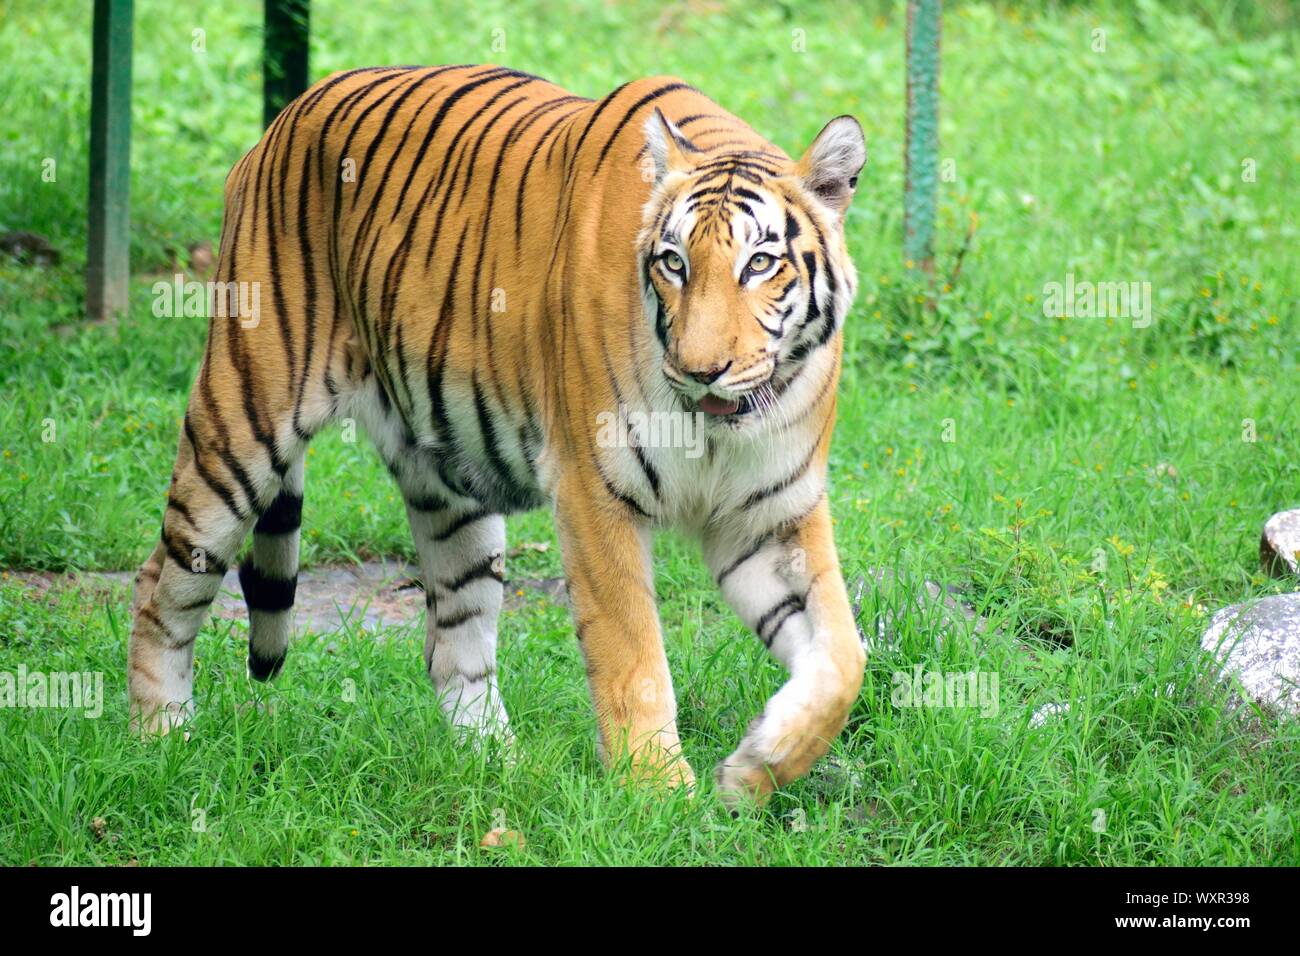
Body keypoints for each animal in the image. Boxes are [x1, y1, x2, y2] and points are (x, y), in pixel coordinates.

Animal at [129, 63, 863, 806]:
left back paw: (498, 772)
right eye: (674, 263)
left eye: (760, 264)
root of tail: (281, 121)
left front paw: (757, 764)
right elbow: (633, 652)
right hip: (241, 423)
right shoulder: (595, 493)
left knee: (450, 642)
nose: (699, 370)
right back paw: (161, 740)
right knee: (159, 582)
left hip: (452, 492)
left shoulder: (772, 514)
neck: (720, 428)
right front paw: (658, 791)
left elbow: (842, 658)